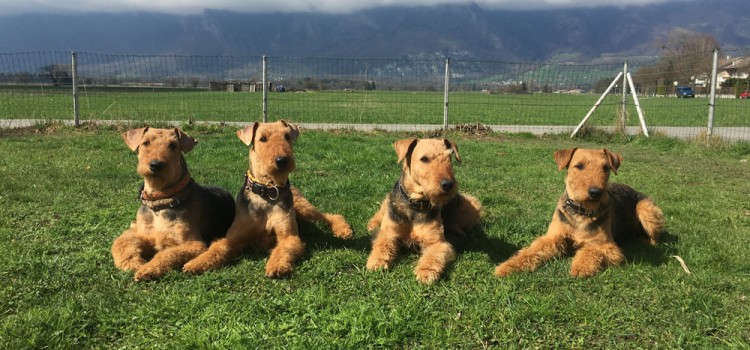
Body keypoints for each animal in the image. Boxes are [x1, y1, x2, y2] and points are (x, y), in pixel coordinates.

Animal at [111, 127, 235, 280]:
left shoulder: (193, 244)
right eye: (145, 143)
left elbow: (168, 253)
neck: (160, 201)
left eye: (173, 145)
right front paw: (133, 263)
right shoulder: (143, 234)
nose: (156, 165)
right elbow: (121, 242)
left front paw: (147, 269)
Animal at [184, 121, 356, 278]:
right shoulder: (233, 237)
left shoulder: (289, 237)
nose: (282, 161)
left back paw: (344, 231)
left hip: (305, 210)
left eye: (287, 136)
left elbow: (283, 250)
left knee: (331, 216)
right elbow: (217, 247)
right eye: (262, 138)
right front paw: (195, 263)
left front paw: (277, 266)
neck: (267, 192)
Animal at [368, 137, 484, 284]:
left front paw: (426, 272)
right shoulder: (388, 233)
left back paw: (458, 231)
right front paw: (377, 262)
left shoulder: (436, 242)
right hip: (388, 201)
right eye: (424, 159)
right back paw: (372, 224)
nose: (448, 185)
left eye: (449, 158)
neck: (416, 203)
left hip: (472, 206)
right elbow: (382, 245)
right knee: (379, 213)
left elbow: (432, 257)